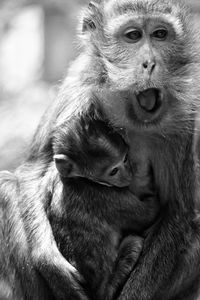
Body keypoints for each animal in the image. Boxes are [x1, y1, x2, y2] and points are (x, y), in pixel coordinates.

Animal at [48, 106, 159, 300]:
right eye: (113, 171)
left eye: (125, 159)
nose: (128, 174)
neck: (79, 179)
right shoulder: (106, 197)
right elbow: (148, 213)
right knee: (134, 243)